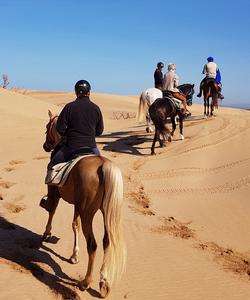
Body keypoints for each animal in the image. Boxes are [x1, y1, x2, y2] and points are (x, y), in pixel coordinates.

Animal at [42, 109, 127, 298]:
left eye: (47, 127)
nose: (45, 146)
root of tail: (103, 166)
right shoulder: (77, 205)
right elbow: (75, 225)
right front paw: (74, 255)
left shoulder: (56, 192)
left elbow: (52, 210)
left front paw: (47, 233)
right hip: (104, 212)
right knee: (106, 241)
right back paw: (103, 282)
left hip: (88, 212)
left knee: (93, 244)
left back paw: (86, 282)